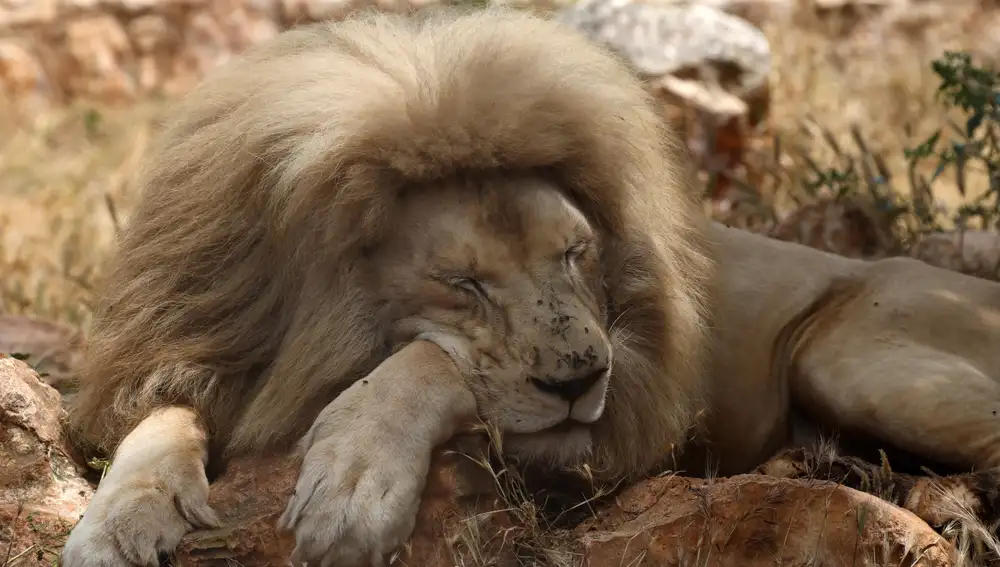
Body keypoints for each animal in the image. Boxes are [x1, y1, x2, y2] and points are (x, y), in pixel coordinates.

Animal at [58, 5, 1000, 567]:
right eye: (462, 282)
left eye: (577, 252)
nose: (584, 378)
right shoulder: (208, 339)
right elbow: (156, 419)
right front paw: (121, 518)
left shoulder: (600, 429)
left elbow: (432, 366)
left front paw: (356, 482)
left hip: (852, 358)